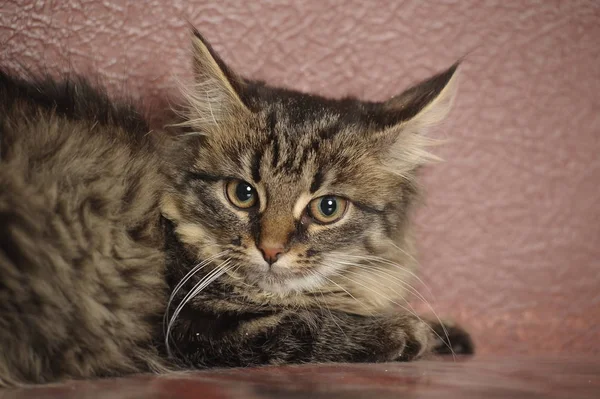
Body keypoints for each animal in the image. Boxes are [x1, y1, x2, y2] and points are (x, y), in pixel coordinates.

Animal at [0, 27, 474, 388]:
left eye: (328, 208)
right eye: (243, 194)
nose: (271, 250)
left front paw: (446, 333)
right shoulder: (192, 325)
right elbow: (307, 322)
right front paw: (406, 331)